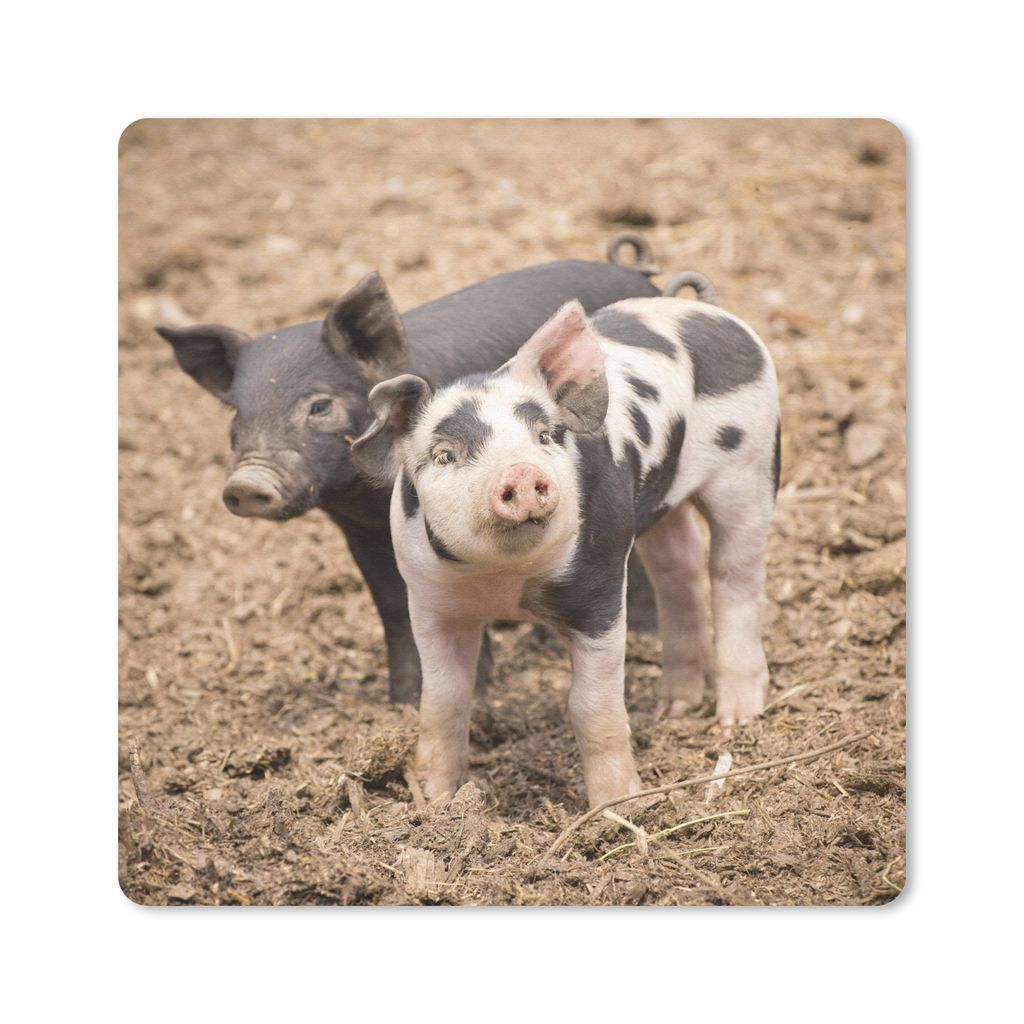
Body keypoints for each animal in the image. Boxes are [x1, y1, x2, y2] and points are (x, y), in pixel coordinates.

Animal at [156, 252, 665, 705]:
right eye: (236, 415)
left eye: (319, 405)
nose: (246, 483)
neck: (364, 496)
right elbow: (393, 604)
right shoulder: (358, 529)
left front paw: (474, 696)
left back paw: (642, 633)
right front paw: (401, 703)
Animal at [352, 295, 780, 809]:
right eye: (444, 455)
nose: (520, 472)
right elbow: (443, 699)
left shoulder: (600, 590)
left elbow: (591, 704)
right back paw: (673, 710)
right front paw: (433, 800)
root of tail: (711, 312)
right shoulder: (430, 600)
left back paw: (735, 721)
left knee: (734, 575)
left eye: (545, 436)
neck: (504, 583)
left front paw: (619, 806)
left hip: (750, 464)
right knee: (680, 567)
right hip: (657, 507)